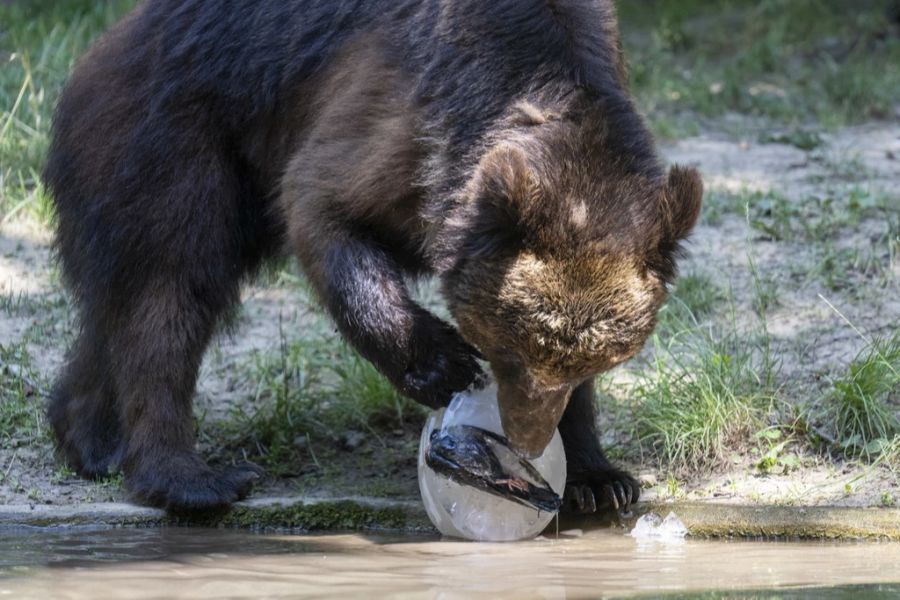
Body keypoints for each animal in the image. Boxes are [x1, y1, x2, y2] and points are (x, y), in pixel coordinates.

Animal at [42, 0, 704, 512]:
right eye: (512, 350)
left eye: (597, 358)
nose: (525, 436)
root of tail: (99, 50)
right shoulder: (397, 115)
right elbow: (324, 205)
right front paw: (443, 364)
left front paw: (600, 480)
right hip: (176, 136)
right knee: (172, 287)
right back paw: (191, 478)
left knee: (127, 303)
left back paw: (89, 437)